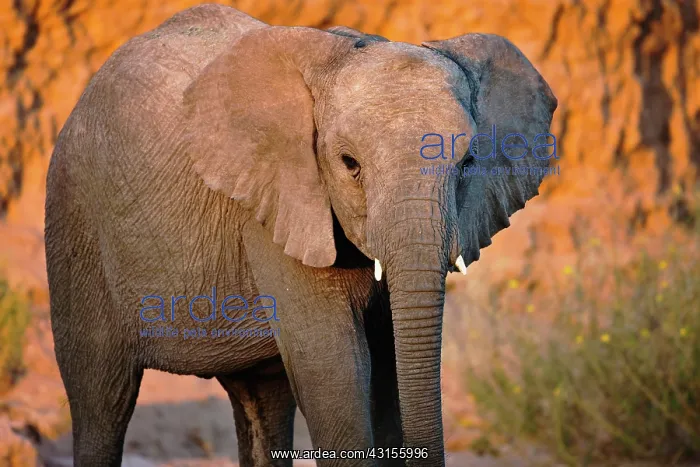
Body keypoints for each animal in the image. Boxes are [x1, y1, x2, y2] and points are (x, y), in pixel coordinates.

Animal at [44, 4, 557, 467]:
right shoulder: (273, 207)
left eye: (468, 163)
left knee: (263, 400)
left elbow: (387, 370)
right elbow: (335, 374)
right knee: (102, 400)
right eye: (349, 164)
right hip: (75, 220)